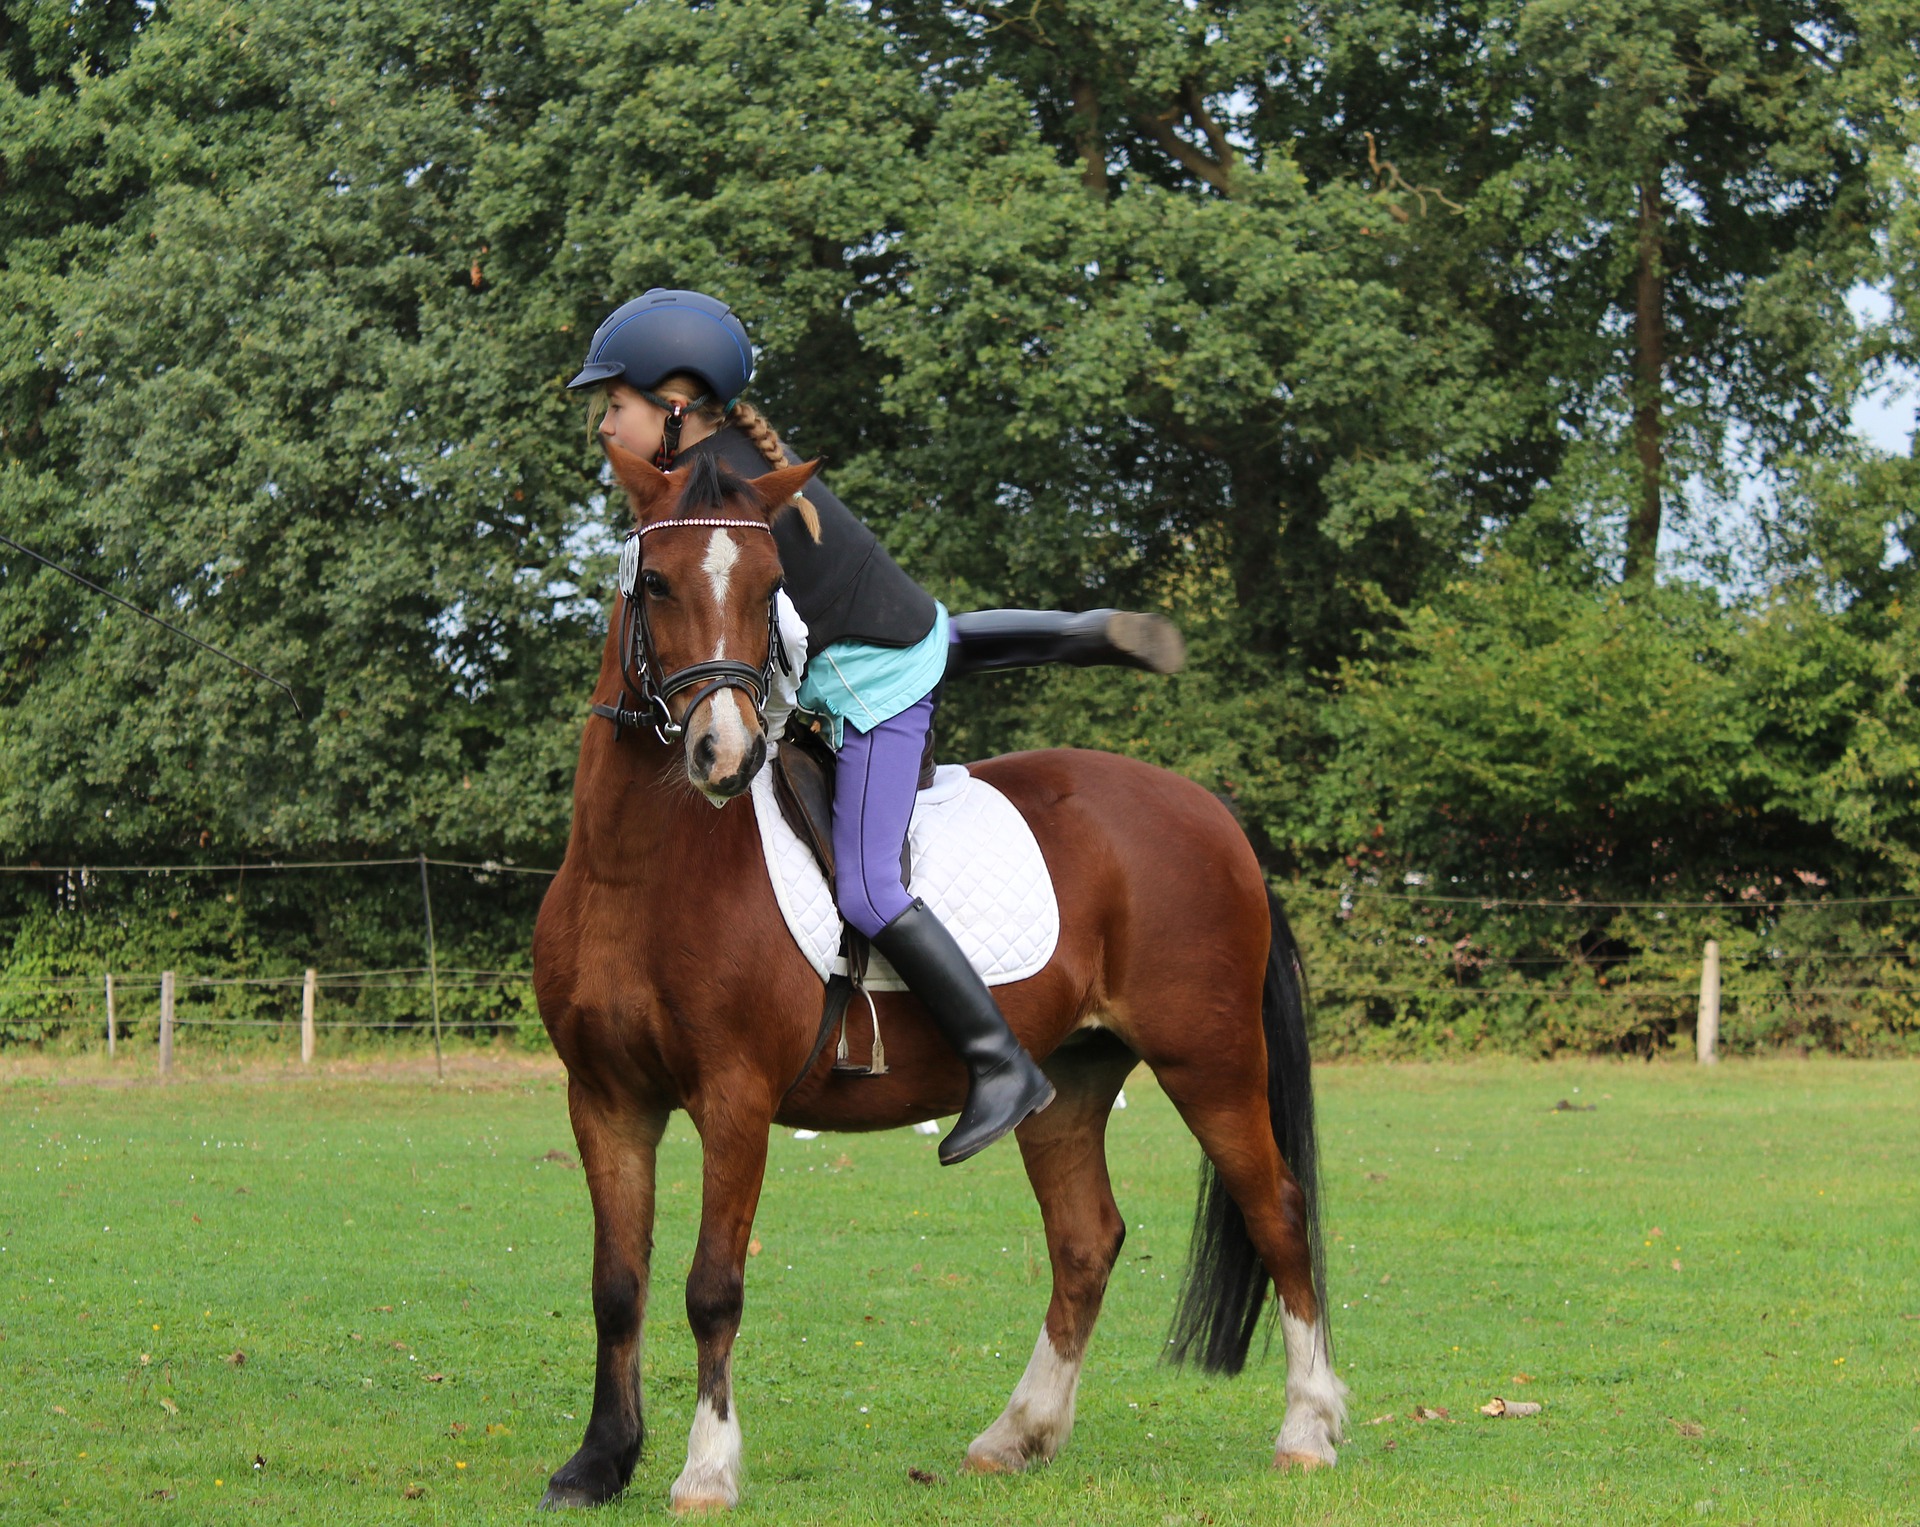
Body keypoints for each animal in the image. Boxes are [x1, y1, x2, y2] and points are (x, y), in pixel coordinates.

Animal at [533, 445, 1344, 1513]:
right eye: (657, 582)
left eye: (769, 588)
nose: (725, 751)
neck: (637, 870)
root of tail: (1211, 812)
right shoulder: (607, 1099)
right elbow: (615, 1286)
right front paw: (597, 1462)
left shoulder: (734, 1099)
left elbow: (713, 1286)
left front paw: (705, 1469)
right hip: (1070, 1079)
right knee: (1086, 1240)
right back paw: (1018, 1434)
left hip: (1208, 1060)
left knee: (1278, 1212)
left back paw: (1309, 1429)